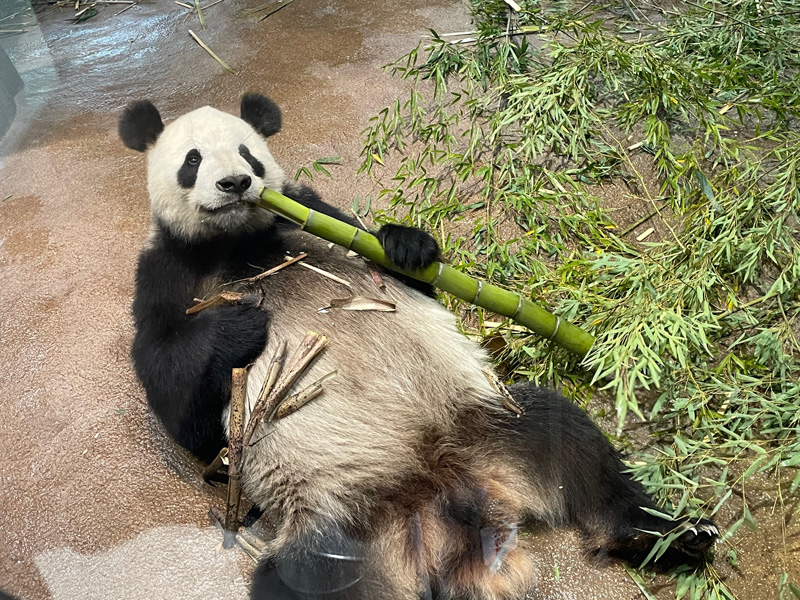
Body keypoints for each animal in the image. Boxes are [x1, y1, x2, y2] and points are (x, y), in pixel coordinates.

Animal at [120, 93, 718, 600]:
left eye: (249, 153)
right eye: (192, 160)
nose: (236, 182)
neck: (239, 241)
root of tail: (443, 508)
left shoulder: (316, 216)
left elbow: (403, 270)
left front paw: (405, 242)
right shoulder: (168, 270)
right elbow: (181, 404)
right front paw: (239, 324)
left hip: (491, 421)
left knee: (578, 447)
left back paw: (668, 537)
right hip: (336, 526)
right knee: (294, 579)